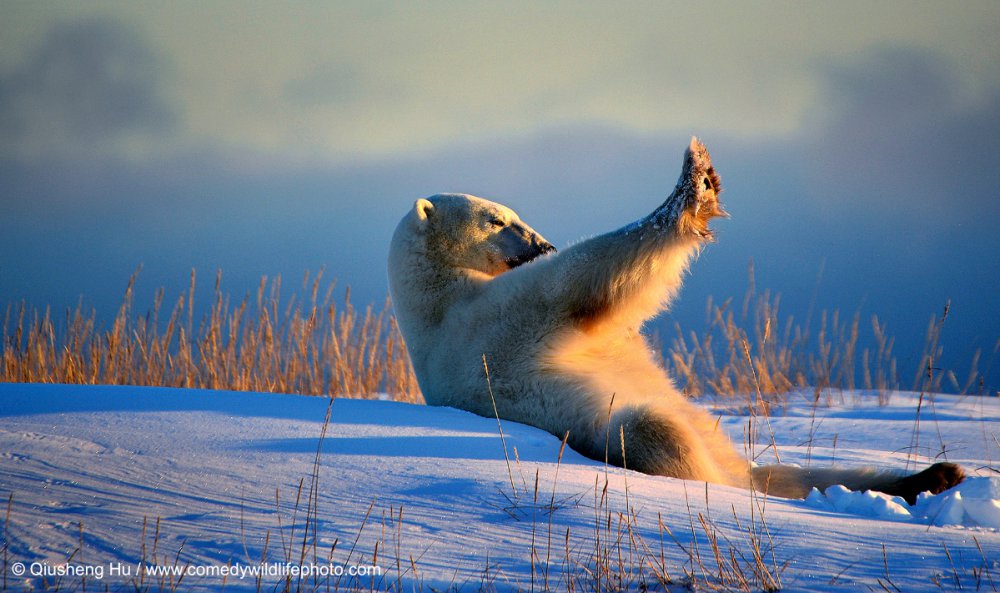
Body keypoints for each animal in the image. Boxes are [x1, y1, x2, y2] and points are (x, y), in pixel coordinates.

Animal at [386, 138, 964, 500]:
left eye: (511, 213)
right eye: (495, 219)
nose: (541, 243)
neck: (433, 304)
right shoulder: (486, 326)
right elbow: (577, 279)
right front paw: (695, 184)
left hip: (731, 446)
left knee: (799, 471)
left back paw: (934, 475)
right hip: (624, 431)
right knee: (658, 431)